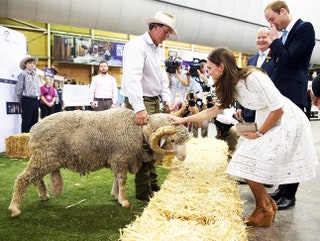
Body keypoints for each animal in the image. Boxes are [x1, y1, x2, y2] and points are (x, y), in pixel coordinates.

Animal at [8, 107, 190, 217]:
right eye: (173, 140)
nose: (183, 157)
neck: (138, 132)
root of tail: (34, 129)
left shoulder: (117, 159)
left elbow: (116, 179)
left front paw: (116, 195)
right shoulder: (120, 157)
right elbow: (122, 180)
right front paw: (124, 201)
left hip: (45, 158)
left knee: (36, 178)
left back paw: (44, 195)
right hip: (44, 156)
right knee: (23, 179)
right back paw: (15, 208)